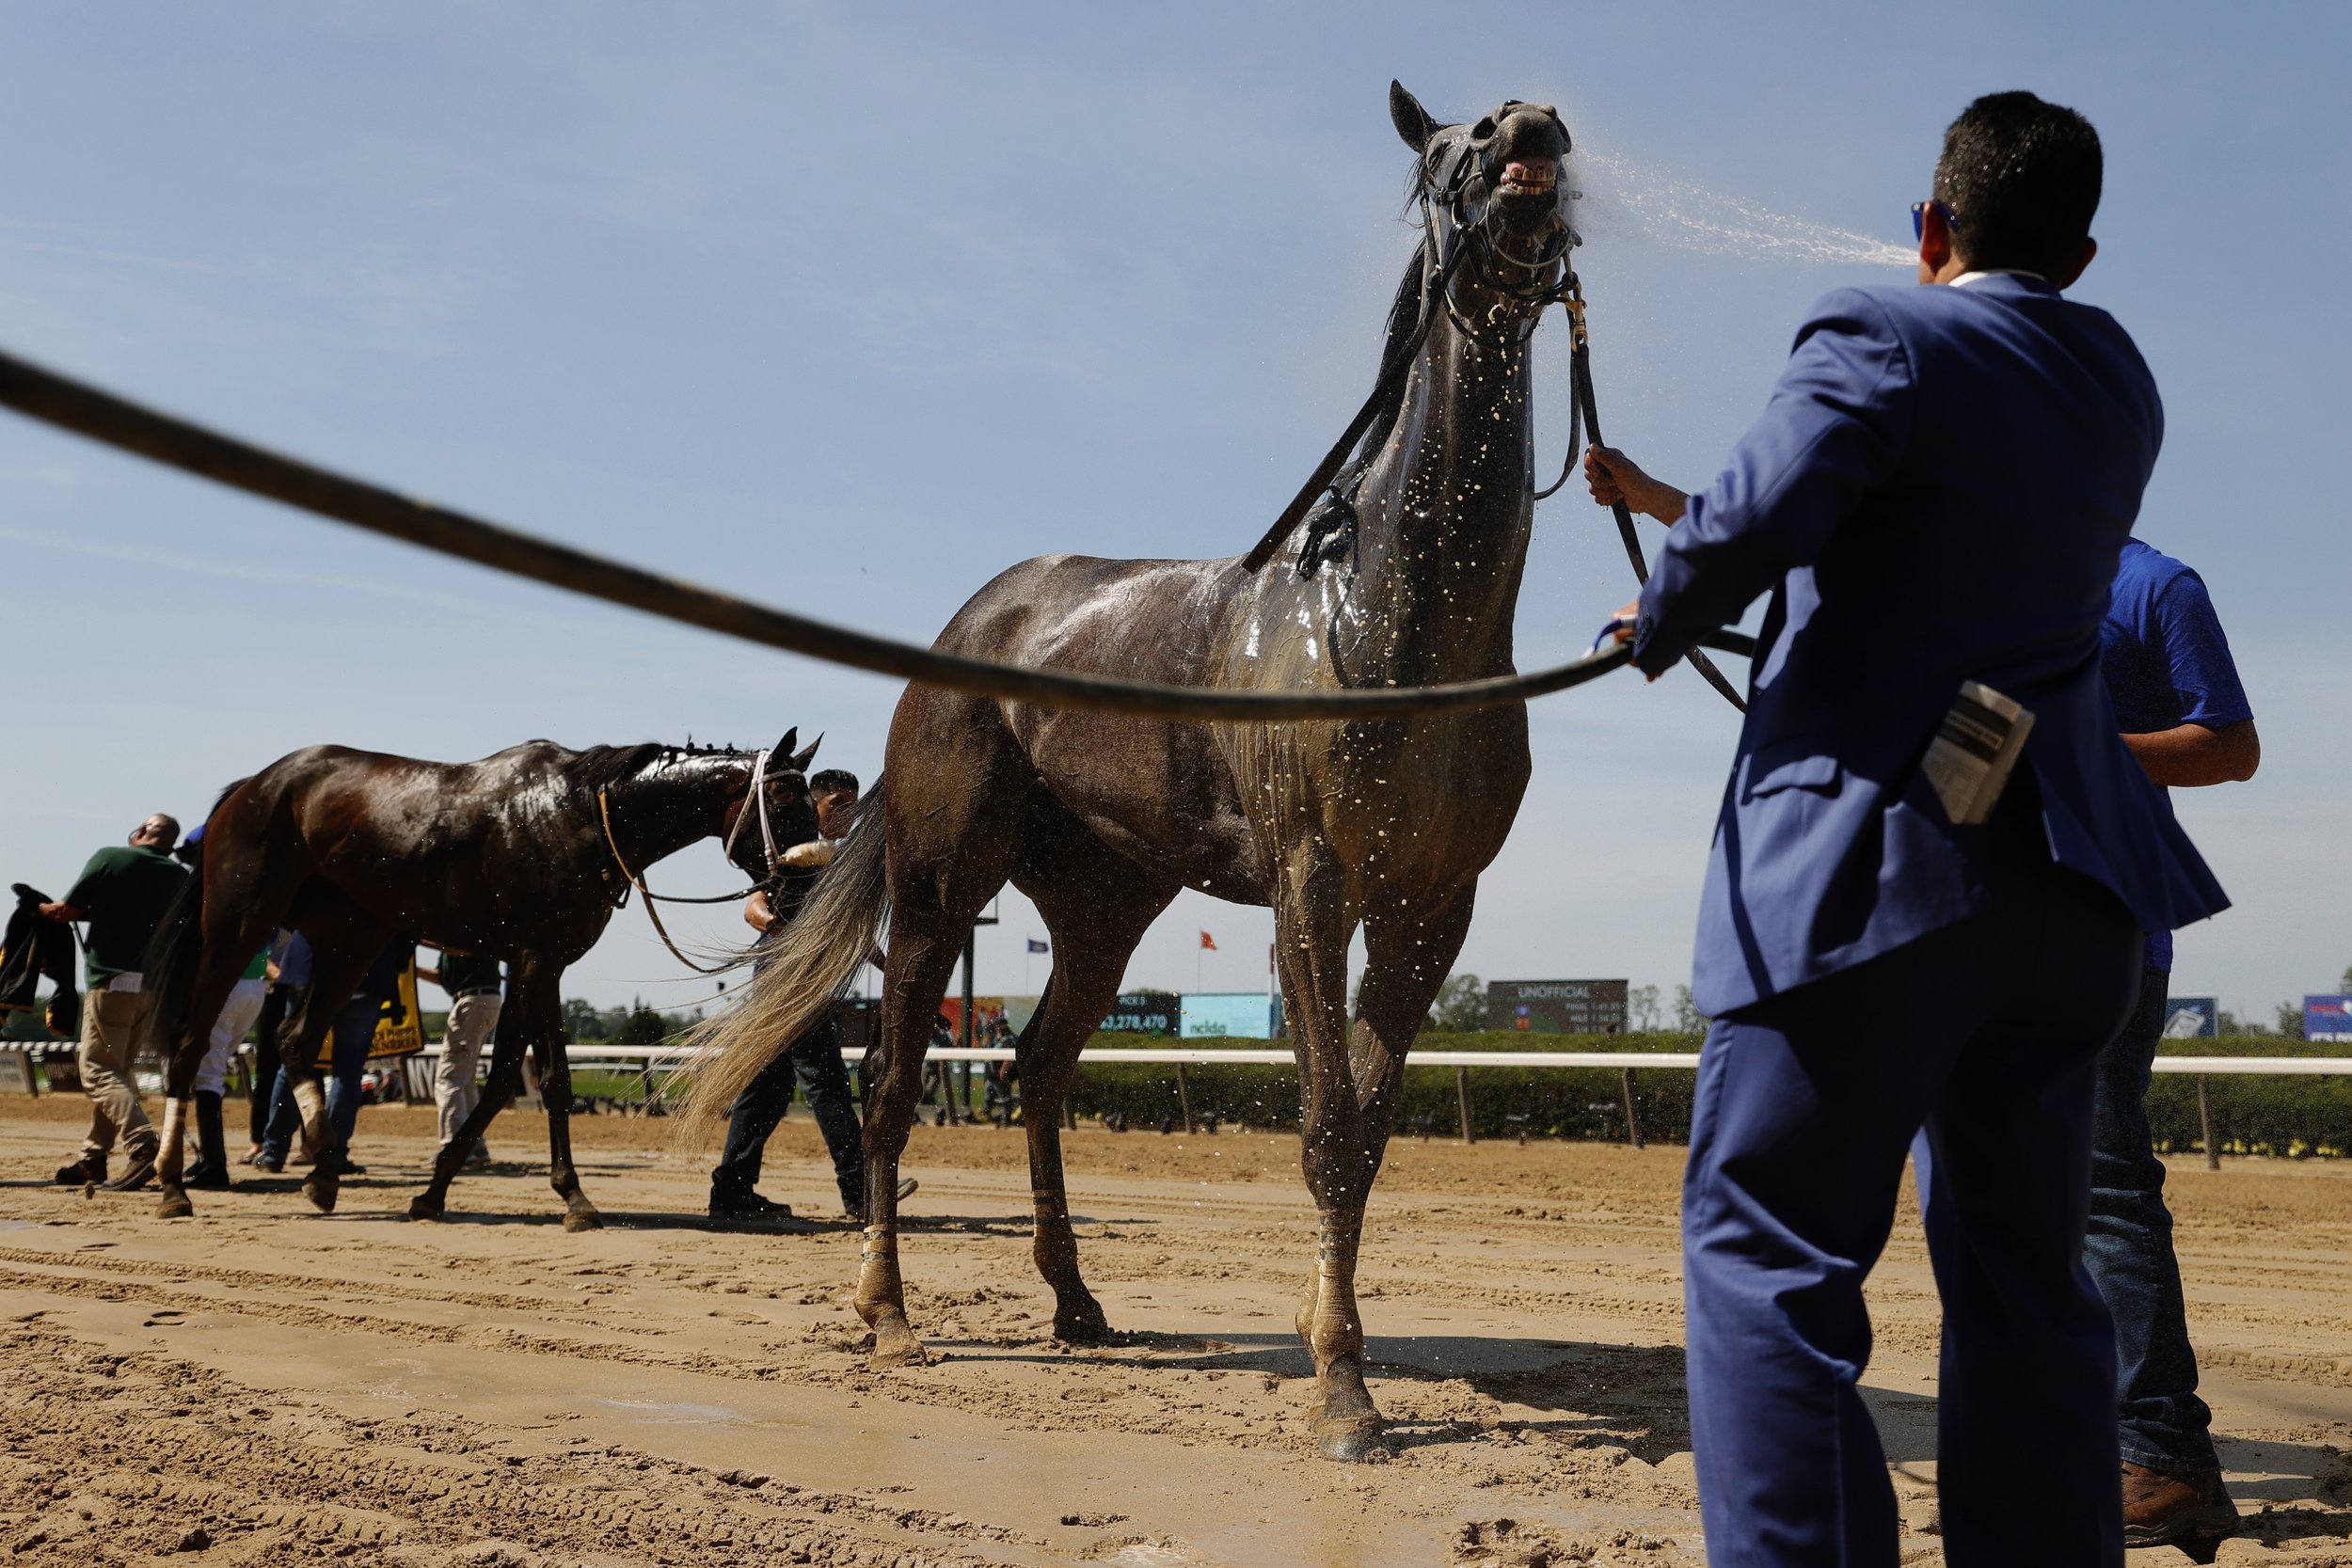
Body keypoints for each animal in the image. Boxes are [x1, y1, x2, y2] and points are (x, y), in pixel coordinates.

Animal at [144, 728, 828, 1231]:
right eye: (787, 806)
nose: (805, 889)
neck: (581, 812)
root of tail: (255, 785)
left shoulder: (528, 965)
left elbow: (500, 1080)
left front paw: (434, 1190)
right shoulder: (537, 960)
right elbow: (551, 1080)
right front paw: (575, 1198)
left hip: (349, 939)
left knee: (294, 1039)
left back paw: (323, 1171)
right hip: (239, 924)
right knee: (190, 1042)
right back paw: (174, 1185)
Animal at [696, 86, 1581, 1457]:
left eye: (1523, 127)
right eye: (1445, 152)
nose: (1523, 126)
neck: (1396, 620)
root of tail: (964, 630)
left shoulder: (1436, 901)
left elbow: (1372, 1125)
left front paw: (1335, 1340)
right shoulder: (1314, 886)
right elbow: (1327, 1125)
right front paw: (1340, 1382)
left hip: (1104, 905)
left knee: (1038, 1067)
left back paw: (1076, 1301)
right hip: (942, 885)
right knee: (892, 1087)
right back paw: (887, 1311)